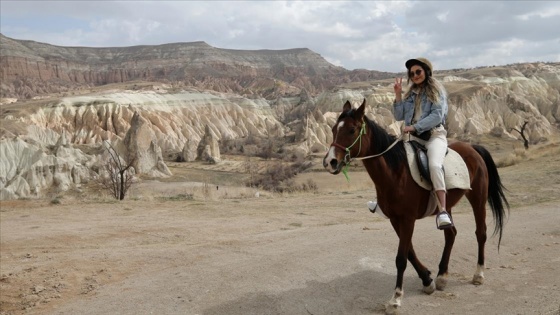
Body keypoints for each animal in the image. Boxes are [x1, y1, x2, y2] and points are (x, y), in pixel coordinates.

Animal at [322, 100, 510, 314]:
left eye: (352, 130)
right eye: (334, 129)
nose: (330, 162)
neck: (397, 172)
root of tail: (473, 148)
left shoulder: (408, 219)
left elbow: (401, 258)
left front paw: (396, 299)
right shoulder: (395, 219)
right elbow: (409, 252)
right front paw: (428, 280)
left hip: (478, 199)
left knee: (481, 233)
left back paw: (478, 274)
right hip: (446, 206)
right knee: (451, 234)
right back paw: (442, 276)